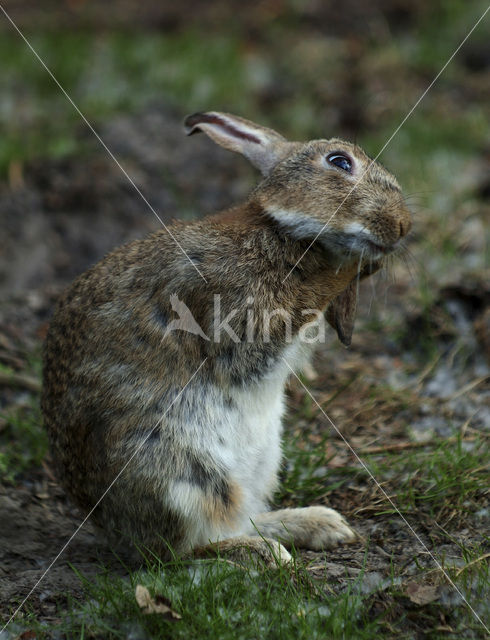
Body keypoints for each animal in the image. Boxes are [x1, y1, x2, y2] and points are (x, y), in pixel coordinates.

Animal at [42, 111, 412, 564]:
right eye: (340, 162)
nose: (402, 225)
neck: (281, 233)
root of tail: (115, 534)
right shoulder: (231, 319)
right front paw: (344, 267)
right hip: (178, 474)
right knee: (183, 550)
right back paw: (263, 554)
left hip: (260, 461)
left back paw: (317, 525)